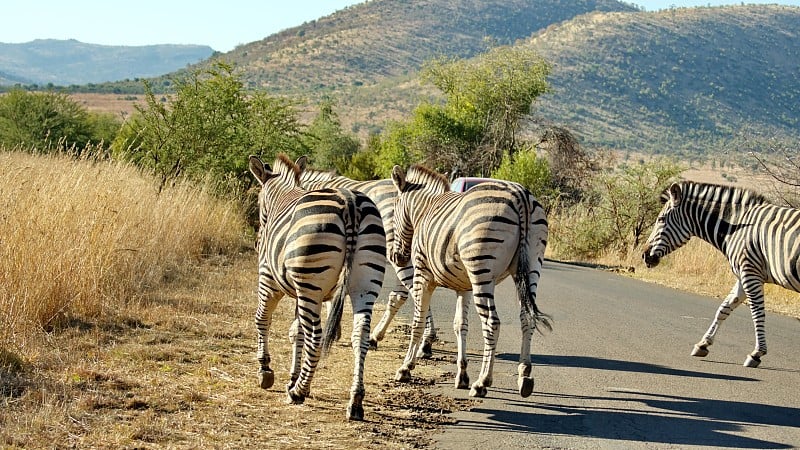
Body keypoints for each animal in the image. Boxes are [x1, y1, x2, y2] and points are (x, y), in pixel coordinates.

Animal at [250, 153, 388, 420]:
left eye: (260, 205)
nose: (258, 242)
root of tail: (350, 202)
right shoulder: (303, 292)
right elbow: (296, 332)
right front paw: (292, 378)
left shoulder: (269, 280)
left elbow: (262, 319)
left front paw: (266, 371)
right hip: (365, 282)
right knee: (360, 336)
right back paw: (355, 402)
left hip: (310, 281)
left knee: (316, 335)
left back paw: (299, 393)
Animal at [388, 164, 552, 398]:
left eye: (394, 211)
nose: (397, 258)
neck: (425, 209)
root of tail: (520, 195)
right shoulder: (463, 285)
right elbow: (460, 325)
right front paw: (462, 375)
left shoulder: (422, 273)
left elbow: (417, 322)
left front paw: (405, 368)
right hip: (531, 268)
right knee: (526, 318)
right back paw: (524, 377)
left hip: (481, 269)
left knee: (492, 322)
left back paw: (482, 382)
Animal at [644, 181, 800, 368]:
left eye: (661, 219)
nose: (644, 255)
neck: (737, 228)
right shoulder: (744, 275)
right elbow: (724, 308)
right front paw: (703, 344)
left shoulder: (750, 272)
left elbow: (757, 313)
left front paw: (757, 353)